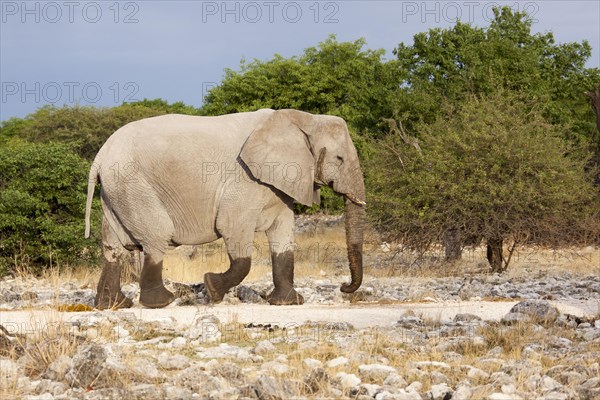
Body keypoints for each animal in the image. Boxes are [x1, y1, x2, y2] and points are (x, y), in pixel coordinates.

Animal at [84, 109, 366, 310]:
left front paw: (289, 302)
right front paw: (212, 288)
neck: (302, 119)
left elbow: (283, 234)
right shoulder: (246, 178)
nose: (343, 286)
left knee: (114, 245)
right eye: (339, 159)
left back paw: (112, 305)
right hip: (132, 184)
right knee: (156, 236)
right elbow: (232, 228)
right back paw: (162, 302)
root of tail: (100, 156)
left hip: (116, 191)